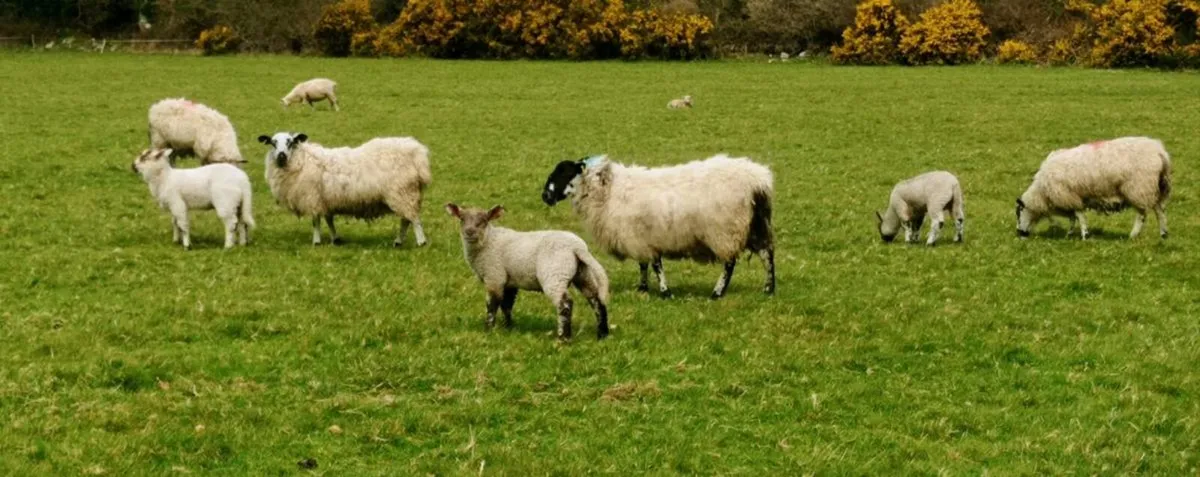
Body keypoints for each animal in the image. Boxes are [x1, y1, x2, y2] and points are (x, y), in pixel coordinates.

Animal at [257, 132, 431, 247]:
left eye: (291, 142)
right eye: (273, 143)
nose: (281, 155)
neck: (302, 160)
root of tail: (416, 153)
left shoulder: (313, 197)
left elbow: (316, 221)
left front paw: (316, 241)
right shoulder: (326, 200)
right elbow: (329, 220)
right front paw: (336, 239)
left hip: (403, 192)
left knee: (413, 219)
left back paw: (421, 242)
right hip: (404, 194)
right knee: (406, 220)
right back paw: (399, 241)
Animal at [446, 203, 610, 341]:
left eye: (484, 220)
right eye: (462, 219)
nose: (469, 232)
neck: (488, 241)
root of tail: (578, 248)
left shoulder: (494, 276)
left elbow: (492, 305)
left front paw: (489, 329)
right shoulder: (509, 281)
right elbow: (507, 305)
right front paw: (508, 327)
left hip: (554, 274)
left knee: (565, 304)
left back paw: (563, 338)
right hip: (583, 273)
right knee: (596, 300)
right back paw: (602, 334)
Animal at [541, 154, 774, 299]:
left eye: (564, 172)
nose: (545, 196)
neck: (607, 190)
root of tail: (758, 180)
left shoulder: (645, 237)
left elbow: (655, 265)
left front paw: (664, 292)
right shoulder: (639, 238)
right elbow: (643, 264)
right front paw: (643, 289)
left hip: (726, 230)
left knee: (730, 263)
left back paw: (717, 292)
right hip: (754, 226)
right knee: (767, 254)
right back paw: (768, 289)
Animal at [1016, 136, 1171, 240]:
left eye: (1018, 213)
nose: (1019, 234)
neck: (1041, 192)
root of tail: (1160, 152)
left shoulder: (1069, 196)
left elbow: (1079, 215)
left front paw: (1085, 234)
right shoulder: (1068, 199)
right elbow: (1073, 218)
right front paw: (1070, 234)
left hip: (1139, 188)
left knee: (1142, 214)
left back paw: (1133, 235)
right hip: (1157, 188)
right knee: (1160, 211)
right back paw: (1163, 234)